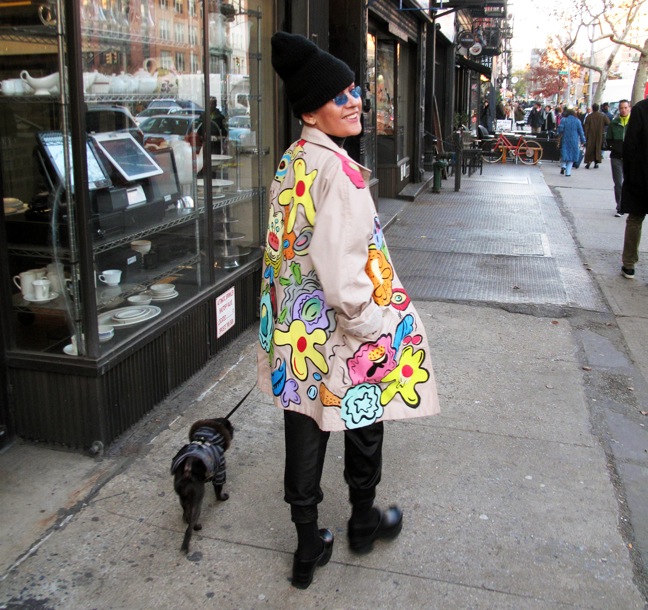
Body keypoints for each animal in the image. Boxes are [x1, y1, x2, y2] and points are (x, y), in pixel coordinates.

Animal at [171, 418, 234, 552]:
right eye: (231, 428)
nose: (233, 430)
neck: (206, 437)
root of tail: (187, 470)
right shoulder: (220, 469)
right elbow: (218, 490)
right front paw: (222, 498)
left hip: (184, 498)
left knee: (186, 514)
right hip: (197, 500)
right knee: (190, 526)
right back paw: (190, 537)